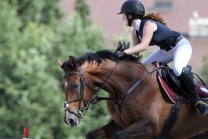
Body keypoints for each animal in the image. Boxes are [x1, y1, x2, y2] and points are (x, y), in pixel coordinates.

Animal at [56, 41, 208, 138]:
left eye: (75, 85)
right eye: (63, 87)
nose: (69, 119)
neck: (129, 86)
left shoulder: (150, 127)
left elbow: (120, 136)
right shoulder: (119, 125)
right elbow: (92, 134)